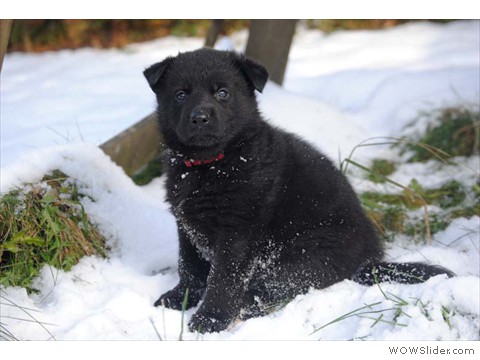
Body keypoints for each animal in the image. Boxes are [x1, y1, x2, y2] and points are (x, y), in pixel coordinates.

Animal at [143, 49, 454, 334]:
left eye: (222, 93)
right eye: (180, 95)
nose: (200, 118)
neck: (212, 164)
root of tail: (369, 261)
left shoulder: (237, 232)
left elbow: (223, 279)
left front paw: (209, 320)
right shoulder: (186, 224)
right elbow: (189, 267)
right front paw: (178, 300)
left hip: (298, 258)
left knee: (272, 291)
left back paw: (245, 311)